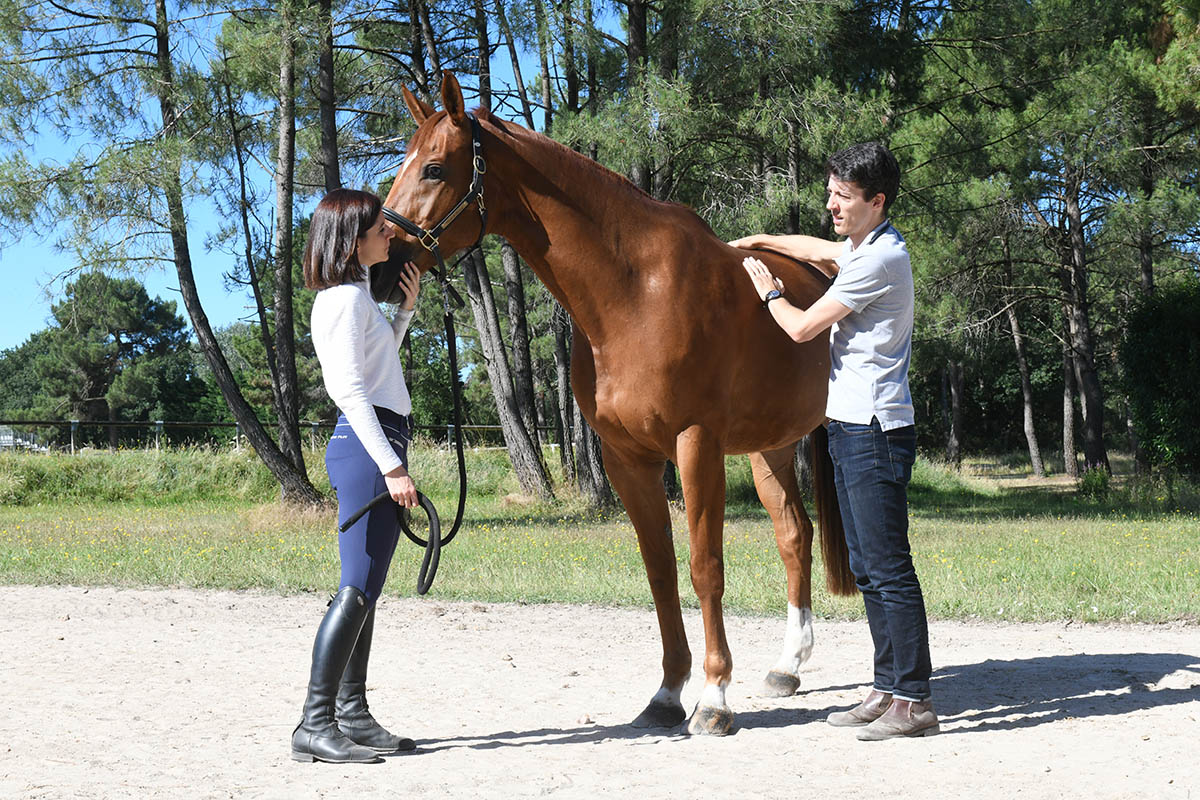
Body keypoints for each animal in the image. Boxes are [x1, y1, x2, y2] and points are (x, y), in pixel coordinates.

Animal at [384, 71, 854, 734]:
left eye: (431, 168)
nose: (382, 261)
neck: (634, 292)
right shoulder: (626, 458)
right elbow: (660, 571)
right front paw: (667, 693)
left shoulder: (695, 443)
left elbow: (704, 567)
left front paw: (713, 698)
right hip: (772, 447)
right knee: (794, 534)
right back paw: (787, 667)